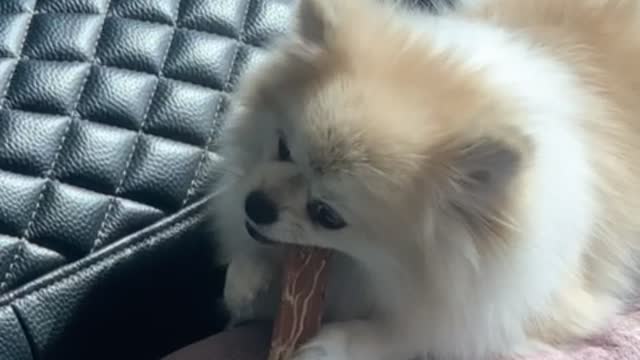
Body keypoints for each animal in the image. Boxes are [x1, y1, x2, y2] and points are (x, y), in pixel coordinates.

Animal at [212, 0, 640, 358]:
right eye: (283, 148)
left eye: (327, 215)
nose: (256, 205)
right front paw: (248, 276)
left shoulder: (536, 306)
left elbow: (425, 332)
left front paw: (340, 342)